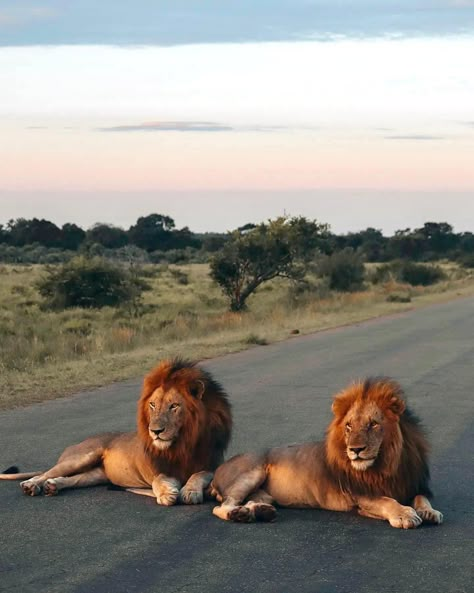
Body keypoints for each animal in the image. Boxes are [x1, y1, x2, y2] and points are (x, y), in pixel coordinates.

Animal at [0, 358, 232, 506]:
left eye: (174, 406)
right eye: (152, 405)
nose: (155, 431)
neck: (183, 441)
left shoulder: (212, 464)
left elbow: (199, 474)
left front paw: (190, 490)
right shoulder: (157, 469)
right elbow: (159, 480)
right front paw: (167, 492)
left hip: (96, 475)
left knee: (71, 479)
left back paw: (52, 487)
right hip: (80, 457)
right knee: (45, 473)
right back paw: (31, 485)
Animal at [211, 374, 440, 528]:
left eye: (373, 424)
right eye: (349, 426)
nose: (355, 450)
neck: (388, 463)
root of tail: (219, 468)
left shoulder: (413, 483)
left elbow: (421, 497)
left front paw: (429, 512)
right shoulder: (361, 496)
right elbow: (387, 501)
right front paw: (405, 515)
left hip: (265, 494)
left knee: (250, 501)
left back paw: (260, 512)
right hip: (251, 473)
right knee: (221, 507)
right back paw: (238, 515)